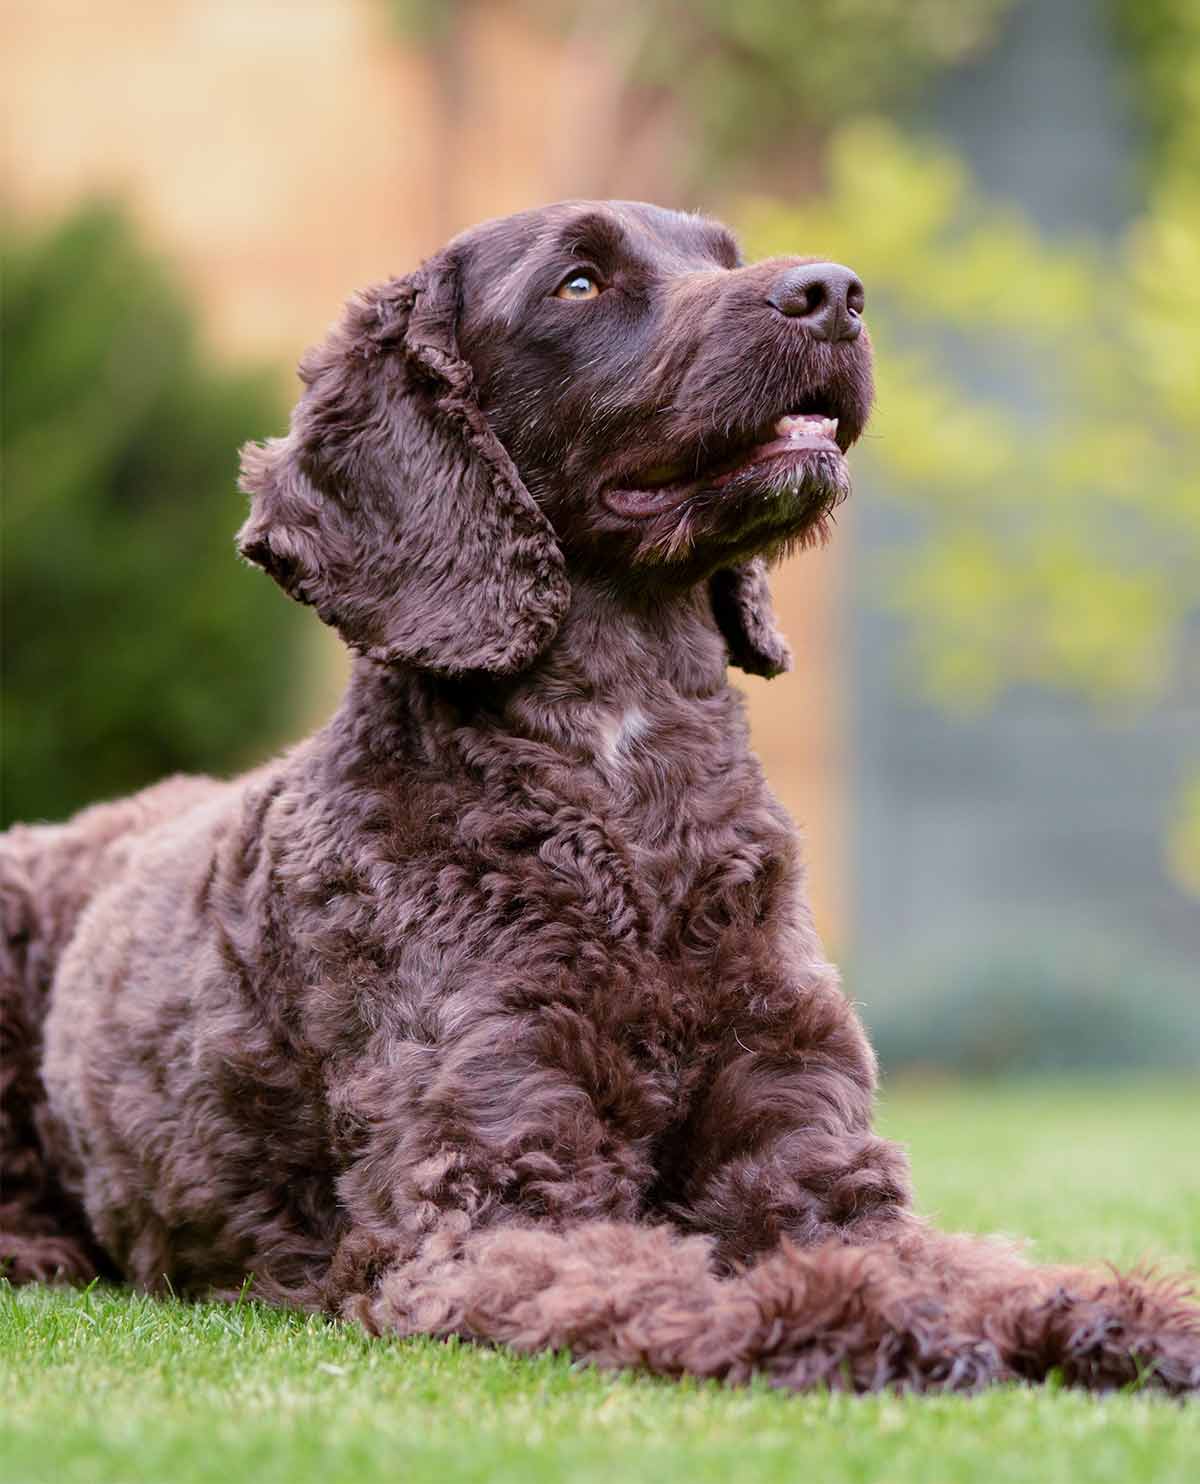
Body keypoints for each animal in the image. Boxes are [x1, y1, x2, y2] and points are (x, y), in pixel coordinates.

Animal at [2, 203, 1198, 1394]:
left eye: (722, 256)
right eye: (578, 283)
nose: (835, 293)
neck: (634, 785)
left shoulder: (813, 1161)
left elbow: (977, 1265)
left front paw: (1129, 1312)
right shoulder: (493, 1202)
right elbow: (690, 1286)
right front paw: (868, 1317)